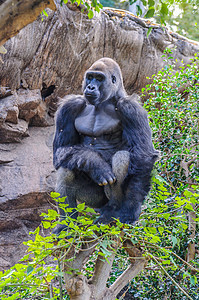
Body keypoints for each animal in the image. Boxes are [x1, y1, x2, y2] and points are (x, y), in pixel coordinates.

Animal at [52, 57, 159, 233]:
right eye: (90, 77)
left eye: (99, 78)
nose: (90, 86)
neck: (105, 101)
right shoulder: (70, 106)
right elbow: (61, 150)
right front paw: (96, 164)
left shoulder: (131, 108)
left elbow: (143, 154)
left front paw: (130, 210)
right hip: (92, 201)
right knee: (66, 168)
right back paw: (66, 224)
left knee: (122, 158)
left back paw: (112, 211)